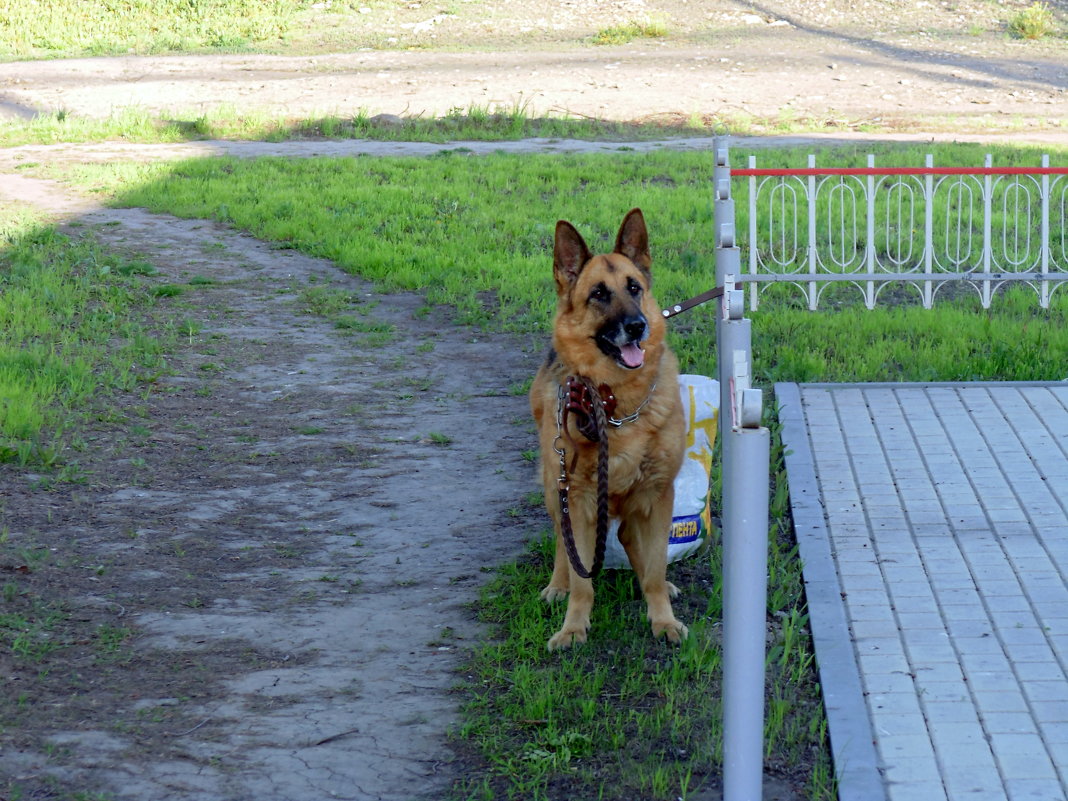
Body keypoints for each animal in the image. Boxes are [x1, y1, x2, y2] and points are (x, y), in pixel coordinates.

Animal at [529, 208, 687, 653]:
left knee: (635, 543)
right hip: (556, 489)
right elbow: (583, 579)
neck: (616, 405)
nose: (637, 326)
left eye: (634, 288)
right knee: (562, 542)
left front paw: (662, 619)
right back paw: (557, 585)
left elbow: (654, 569)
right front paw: (573, 627)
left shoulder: (657, 496)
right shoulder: (580, 501)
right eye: (598, 294)